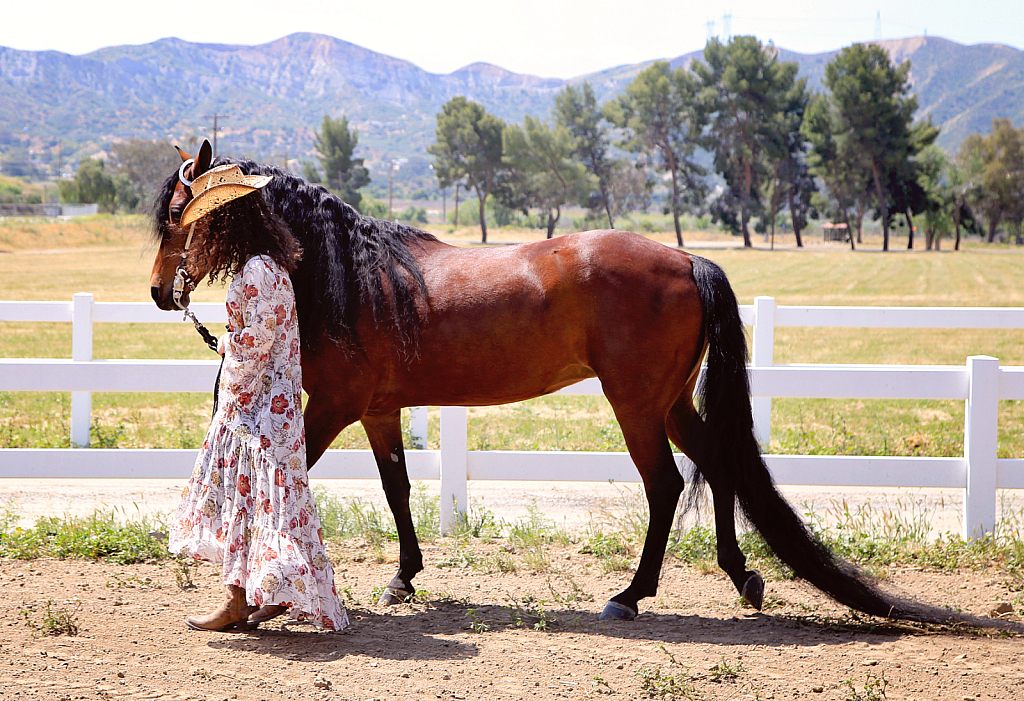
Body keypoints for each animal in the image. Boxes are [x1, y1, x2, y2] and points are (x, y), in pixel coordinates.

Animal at [148, 139, 962, 626]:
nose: (159, 291)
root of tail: (686, 258)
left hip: (636, 404)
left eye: (179, 217)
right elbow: (398, 489)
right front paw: (403, 578)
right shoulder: (379, 409)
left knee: (668, 484)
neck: (352, 276)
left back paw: (631, 596)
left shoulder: (336, 407)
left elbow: (297, 476)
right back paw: (743, 578)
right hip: (669, 402)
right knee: (718, 466)